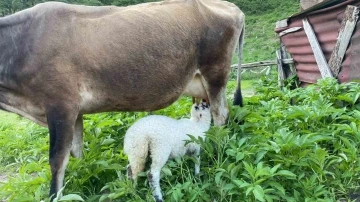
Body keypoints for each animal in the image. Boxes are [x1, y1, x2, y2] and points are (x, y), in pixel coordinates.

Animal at [0, 0, 245, 199]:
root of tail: (231, 7)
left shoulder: (60, 107)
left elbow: (57, 161)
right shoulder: (75, 113)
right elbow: (76, 152)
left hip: (215, 75)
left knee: (220, 116)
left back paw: (216, 155)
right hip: (200, 88)